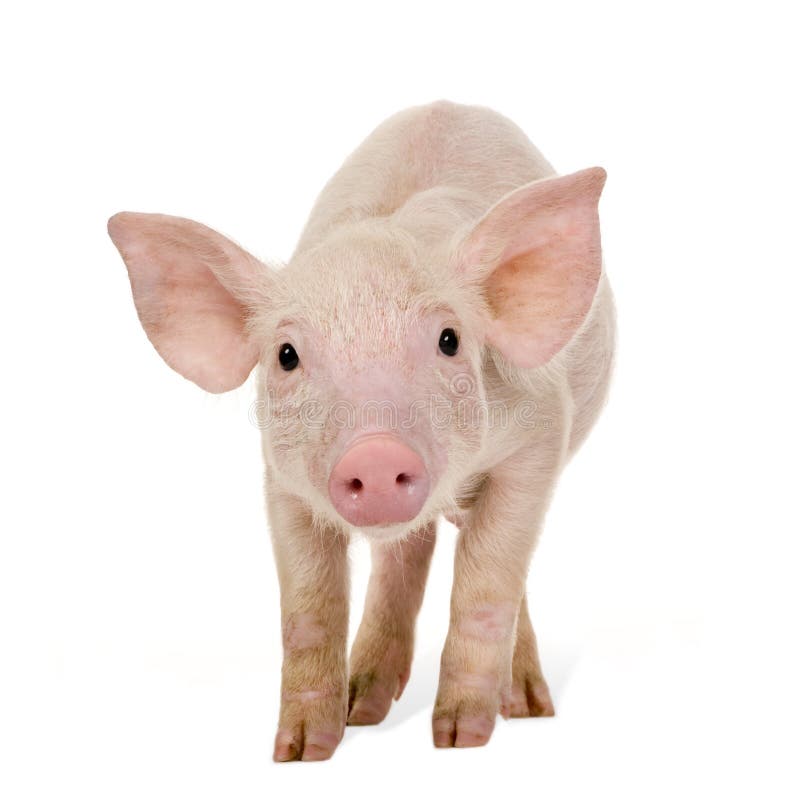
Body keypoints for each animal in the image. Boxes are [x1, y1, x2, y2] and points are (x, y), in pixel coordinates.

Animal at [109, 100, 616, 764]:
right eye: (287, 355)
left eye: (450, 340)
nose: (375, 454)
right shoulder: (282, 479)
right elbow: (308, 608)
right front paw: (301, 751)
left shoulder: (539, 434)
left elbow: (487, 584)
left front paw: (459, 741)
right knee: (406, 553)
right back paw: (365, 706)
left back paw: (529, 707)